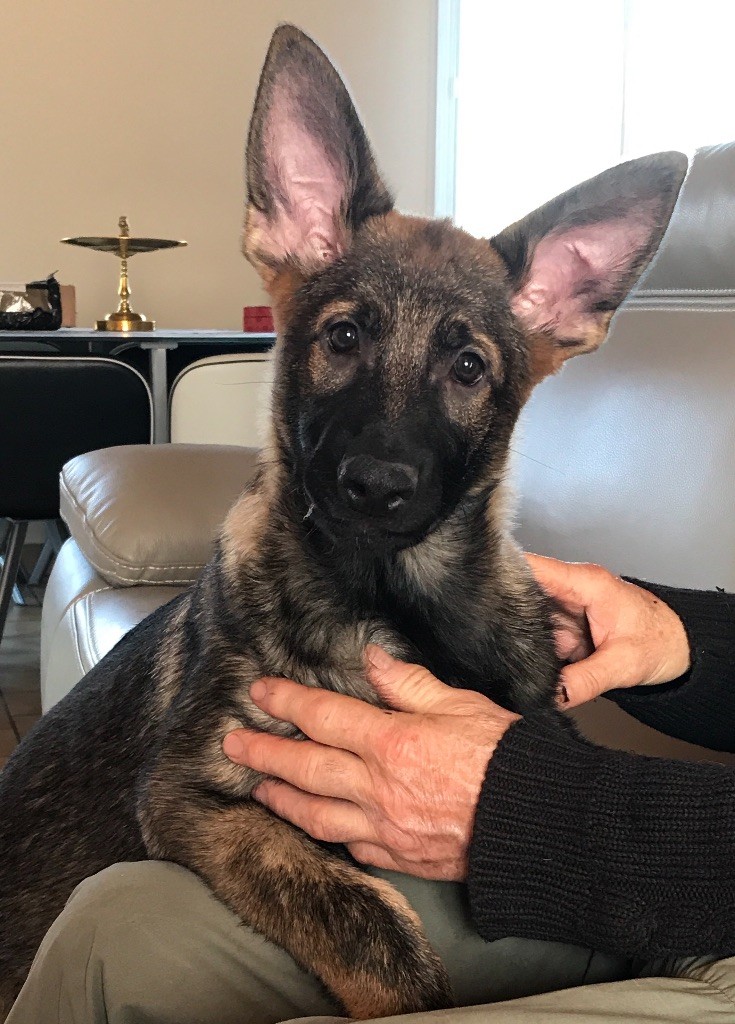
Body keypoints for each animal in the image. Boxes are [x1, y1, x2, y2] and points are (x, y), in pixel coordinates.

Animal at [0, 25, 687, 1024]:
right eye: (342, 337)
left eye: (469, 367)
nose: (373, 488)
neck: (396, 601)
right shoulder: (196, 795)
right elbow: (367, 924)